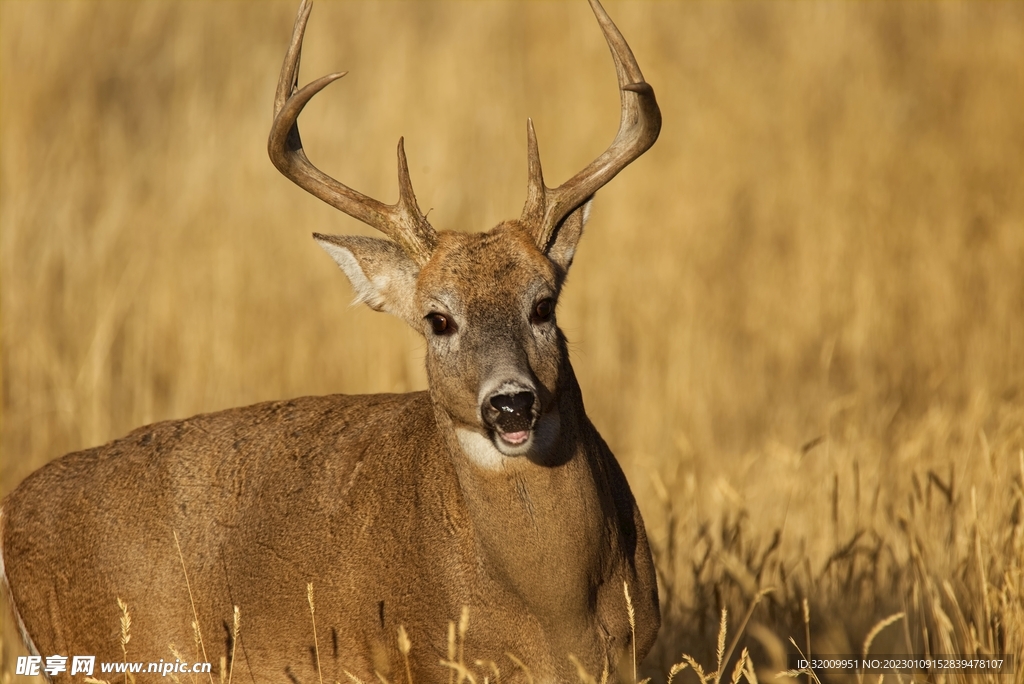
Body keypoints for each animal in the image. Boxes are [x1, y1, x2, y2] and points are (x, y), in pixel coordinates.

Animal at [0, 0, 661, 681]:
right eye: (438, 319)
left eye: (544, 303)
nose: (510, 403)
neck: (555, 618)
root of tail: (13, 509)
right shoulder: (417, 661)